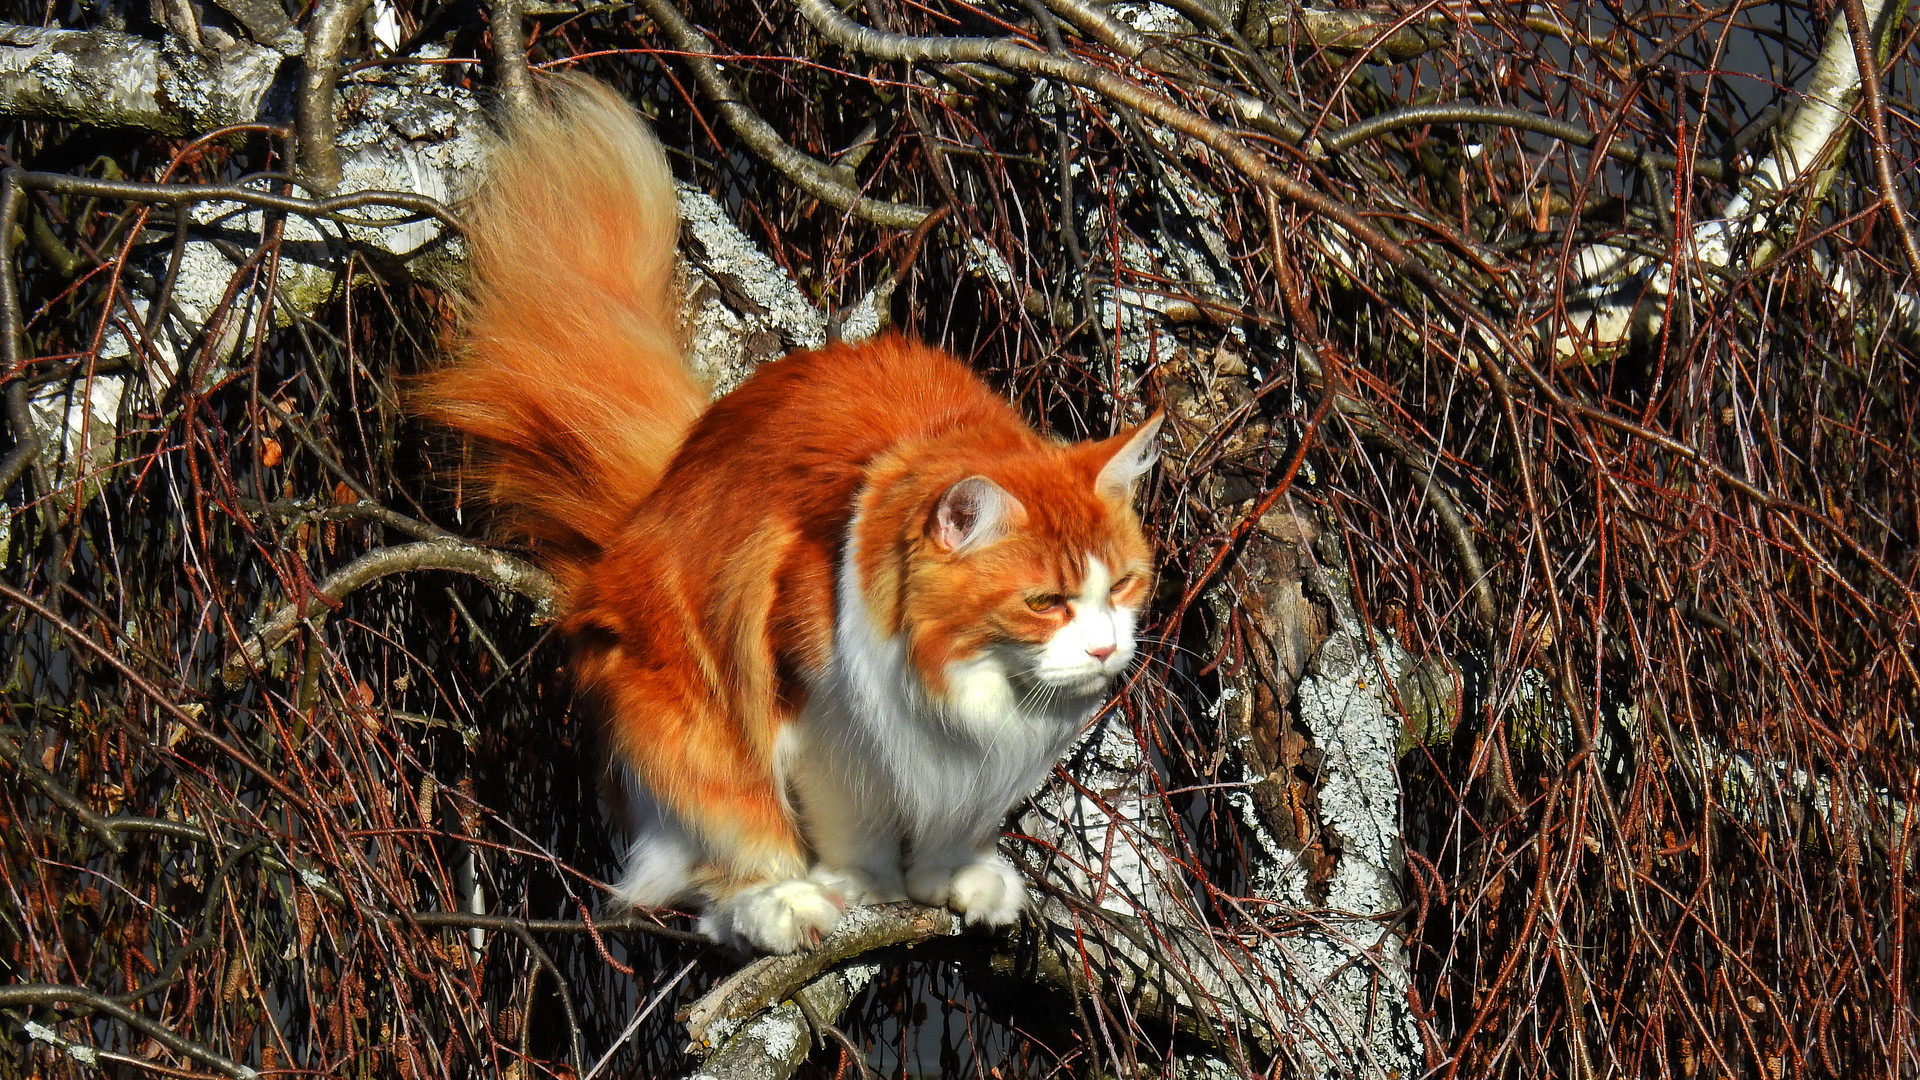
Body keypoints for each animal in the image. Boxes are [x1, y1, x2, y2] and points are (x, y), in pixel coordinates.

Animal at [422, 77, 1159, 949]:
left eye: (1124, 586)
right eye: (1046, 602)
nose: (1106, 648)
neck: (974, 689)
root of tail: (646, 508)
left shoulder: (978, 771)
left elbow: (952, 830)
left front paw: (952, 878)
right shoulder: (824, 729)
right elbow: (852, 827)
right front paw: (866, 887)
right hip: (688, 726)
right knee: (713, 871)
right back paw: (782, 905)